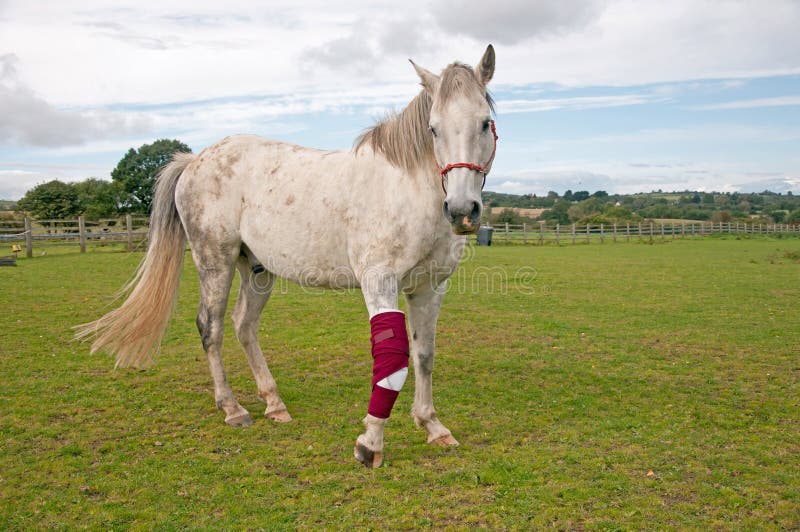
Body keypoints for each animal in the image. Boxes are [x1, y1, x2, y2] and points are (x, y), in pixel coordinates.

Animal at [76, 46, 500, 470]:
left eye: (484, 123)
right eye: (433, 128)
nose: (462, 210)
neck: (408, 189)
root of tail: (194, 161)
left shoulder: (430, 287)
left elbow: (423, 353)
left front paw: (432, 425)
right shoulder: (379, 281)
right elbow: (392, 359)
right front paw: (370, 444)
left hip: (257, 270)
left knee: (244, 326)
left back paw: (273, 403)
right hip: (215, 261)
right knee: (210, 327)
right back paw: (232, 408)